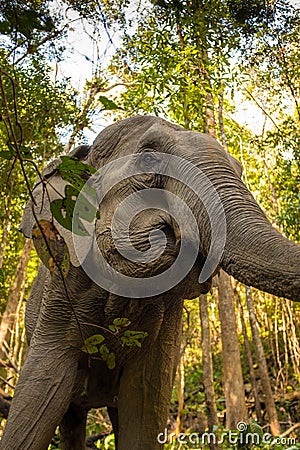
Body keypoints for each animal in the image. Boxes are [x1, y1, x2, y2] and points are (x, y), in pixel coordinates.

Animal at [1, 116, 300, 450]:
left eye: (238, 168)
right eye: (148, 158)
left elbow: (145, 395)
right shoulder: (62, 286)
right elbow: (42, 386)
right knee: (71, 419)